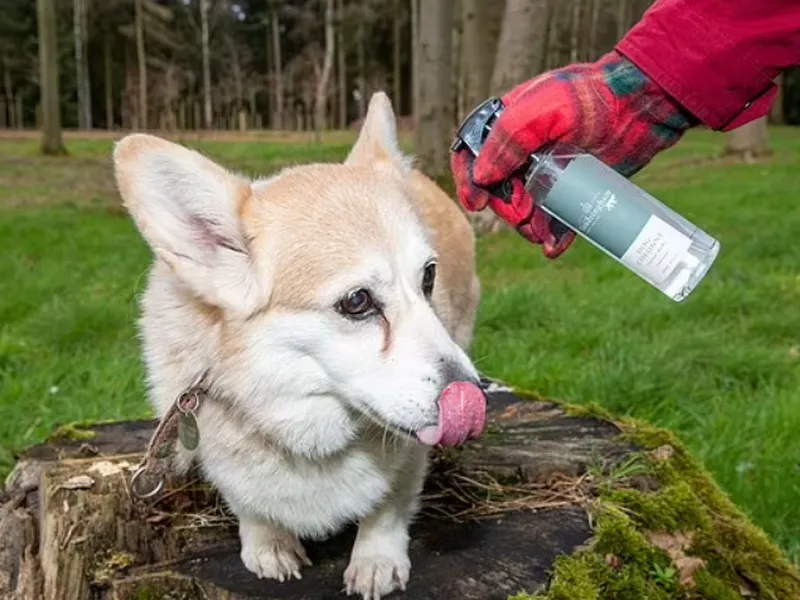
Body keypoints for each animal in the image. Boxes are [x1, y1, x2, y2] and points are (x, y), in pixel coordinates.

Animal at [113, 91, 484, 596]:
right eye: (357, 301)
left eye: (427, 277)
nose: (476, 398)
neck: (303, 424)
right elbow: (248, 503)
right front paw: (268, 544)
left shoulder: (410, 456)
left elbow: (388, 506)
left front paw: (376, 560)